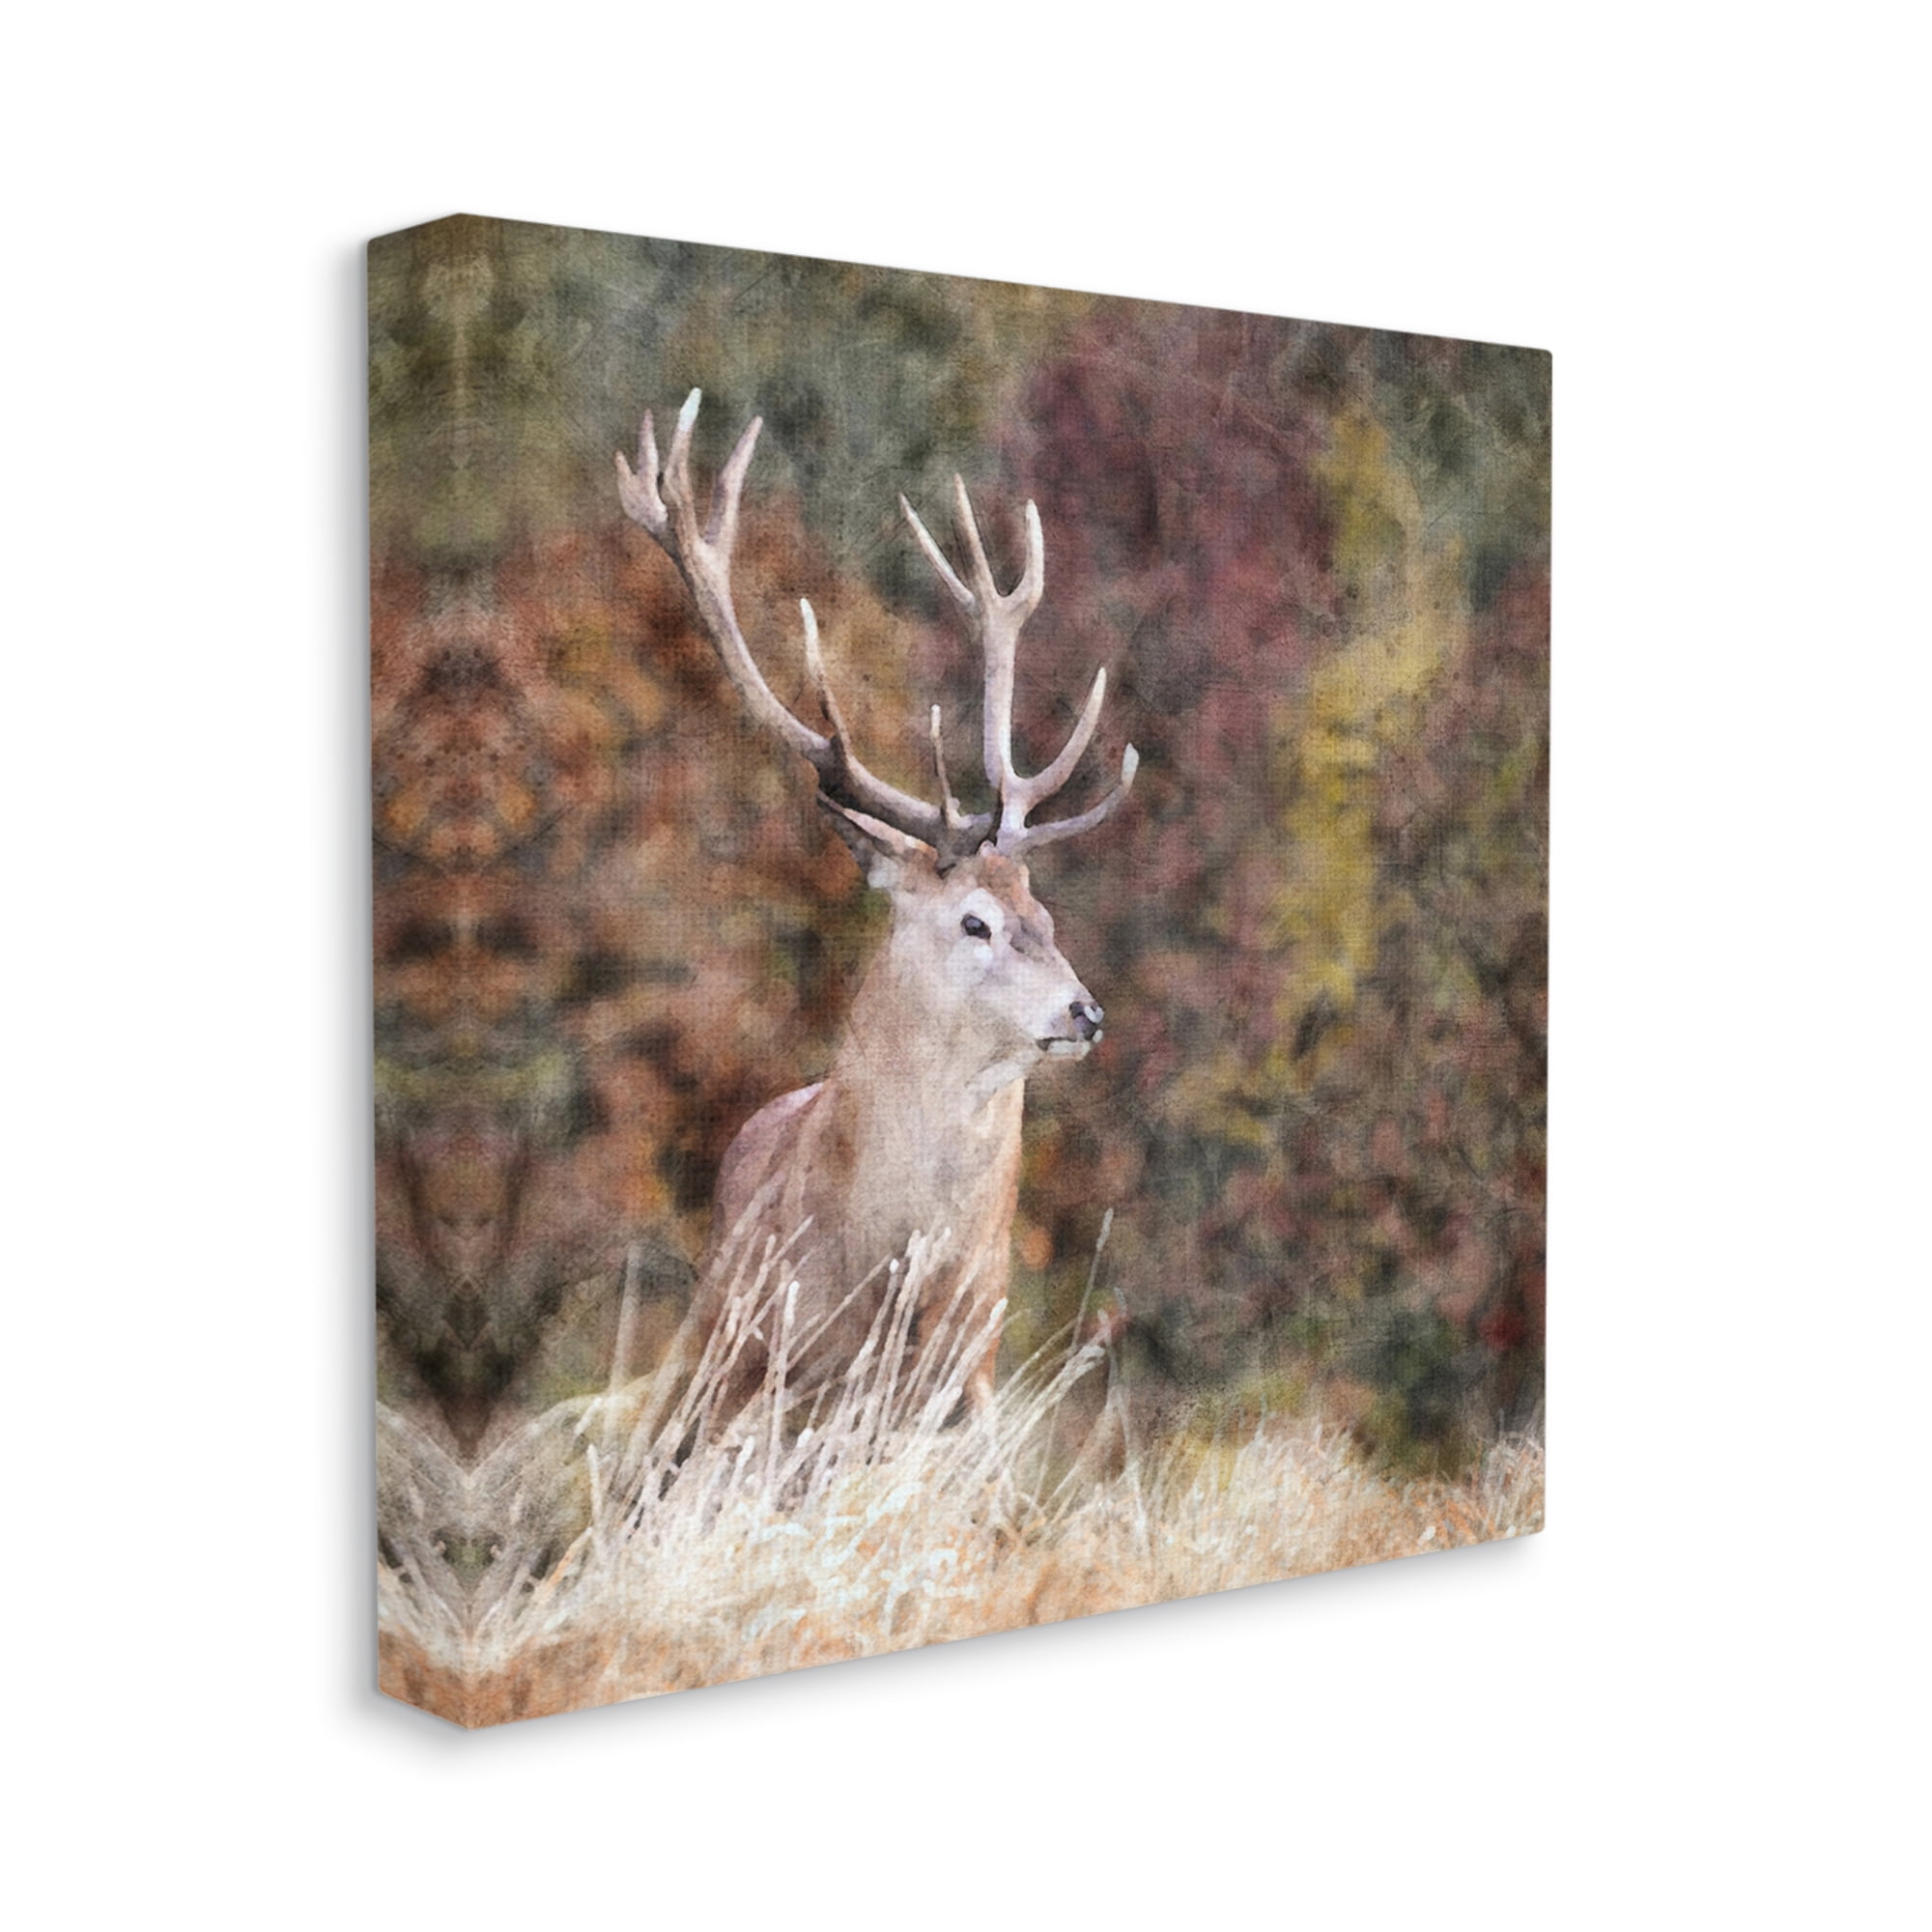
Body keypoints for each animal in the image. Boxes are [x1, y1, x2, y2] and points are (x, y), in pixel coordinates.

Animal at [614, 390, 1136, 1435]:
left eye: (1044, 910)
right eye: (973, 921)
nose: (1085, 1010)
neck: (884, 1282)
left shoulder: (967, 1382)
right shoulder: (764, 1367)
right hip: (698, 1350)